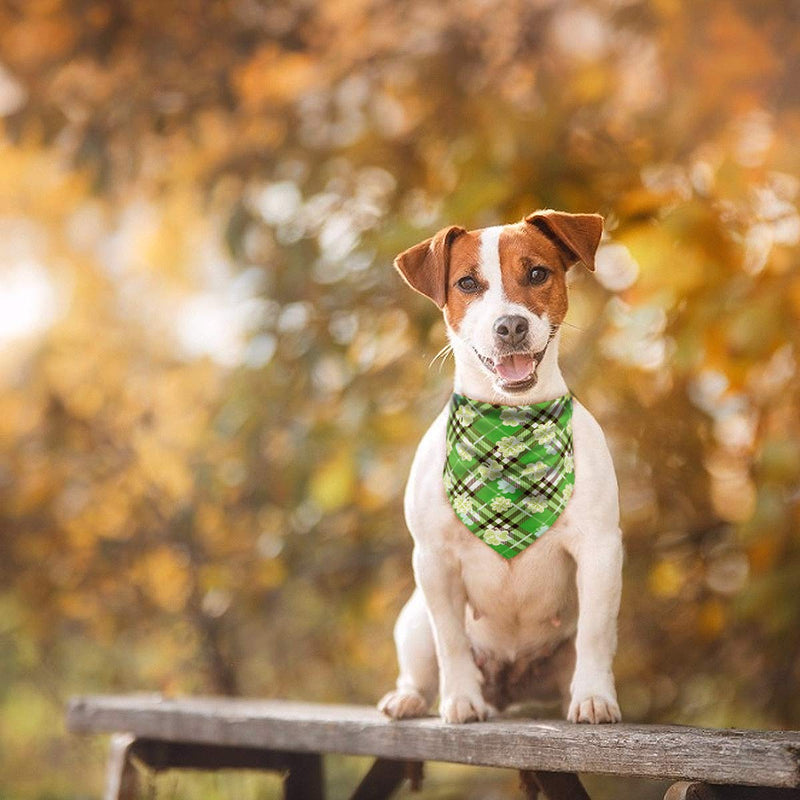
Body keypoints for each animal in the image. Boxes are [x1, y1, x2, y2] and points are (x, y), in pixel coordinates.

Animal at [378, 209, 620, 720]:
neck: (509, 422)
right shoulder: (433, 561)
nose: (510, 326)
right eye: (467, 283)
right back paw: (409, 698)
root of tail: (510, 686)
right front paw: (460, 700)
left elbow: (594, 633)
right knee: (422, 663)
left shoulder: (600, 550)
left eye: (537, 274)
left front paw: (594, 697)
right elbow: (450, 641)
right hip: (413, 620)